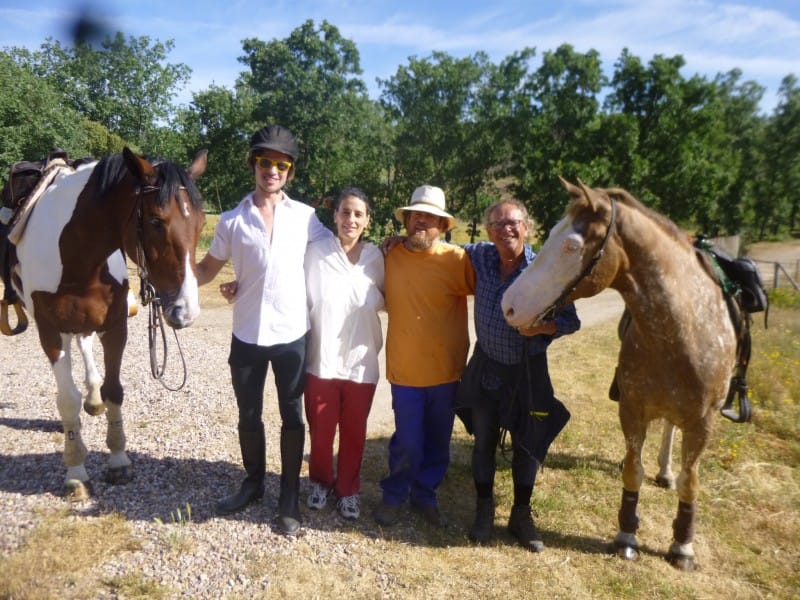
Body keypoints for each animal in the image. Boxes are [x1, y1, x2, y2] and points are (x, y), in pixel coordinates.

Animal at [3, 149, 208, 502]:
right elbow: (67, 400)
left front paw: (118, 460)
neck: (76, 254)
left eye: (201, 223)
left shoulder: (114, 327)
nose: (186, 310)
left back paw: (94, 396)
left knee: (84, 344)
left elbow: (114, 391)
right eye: (156, 221)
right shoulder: (49, 332)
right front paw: (75, 471)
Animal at [500, 179, 736, 572]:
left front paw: (682, 547)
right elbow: (633, 471)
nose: (509, 307)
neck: (682, 331)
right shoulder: (632, 410)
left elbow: (691, 482)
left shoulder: (703, 422)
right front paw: (626, 536)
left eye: (572, 245)